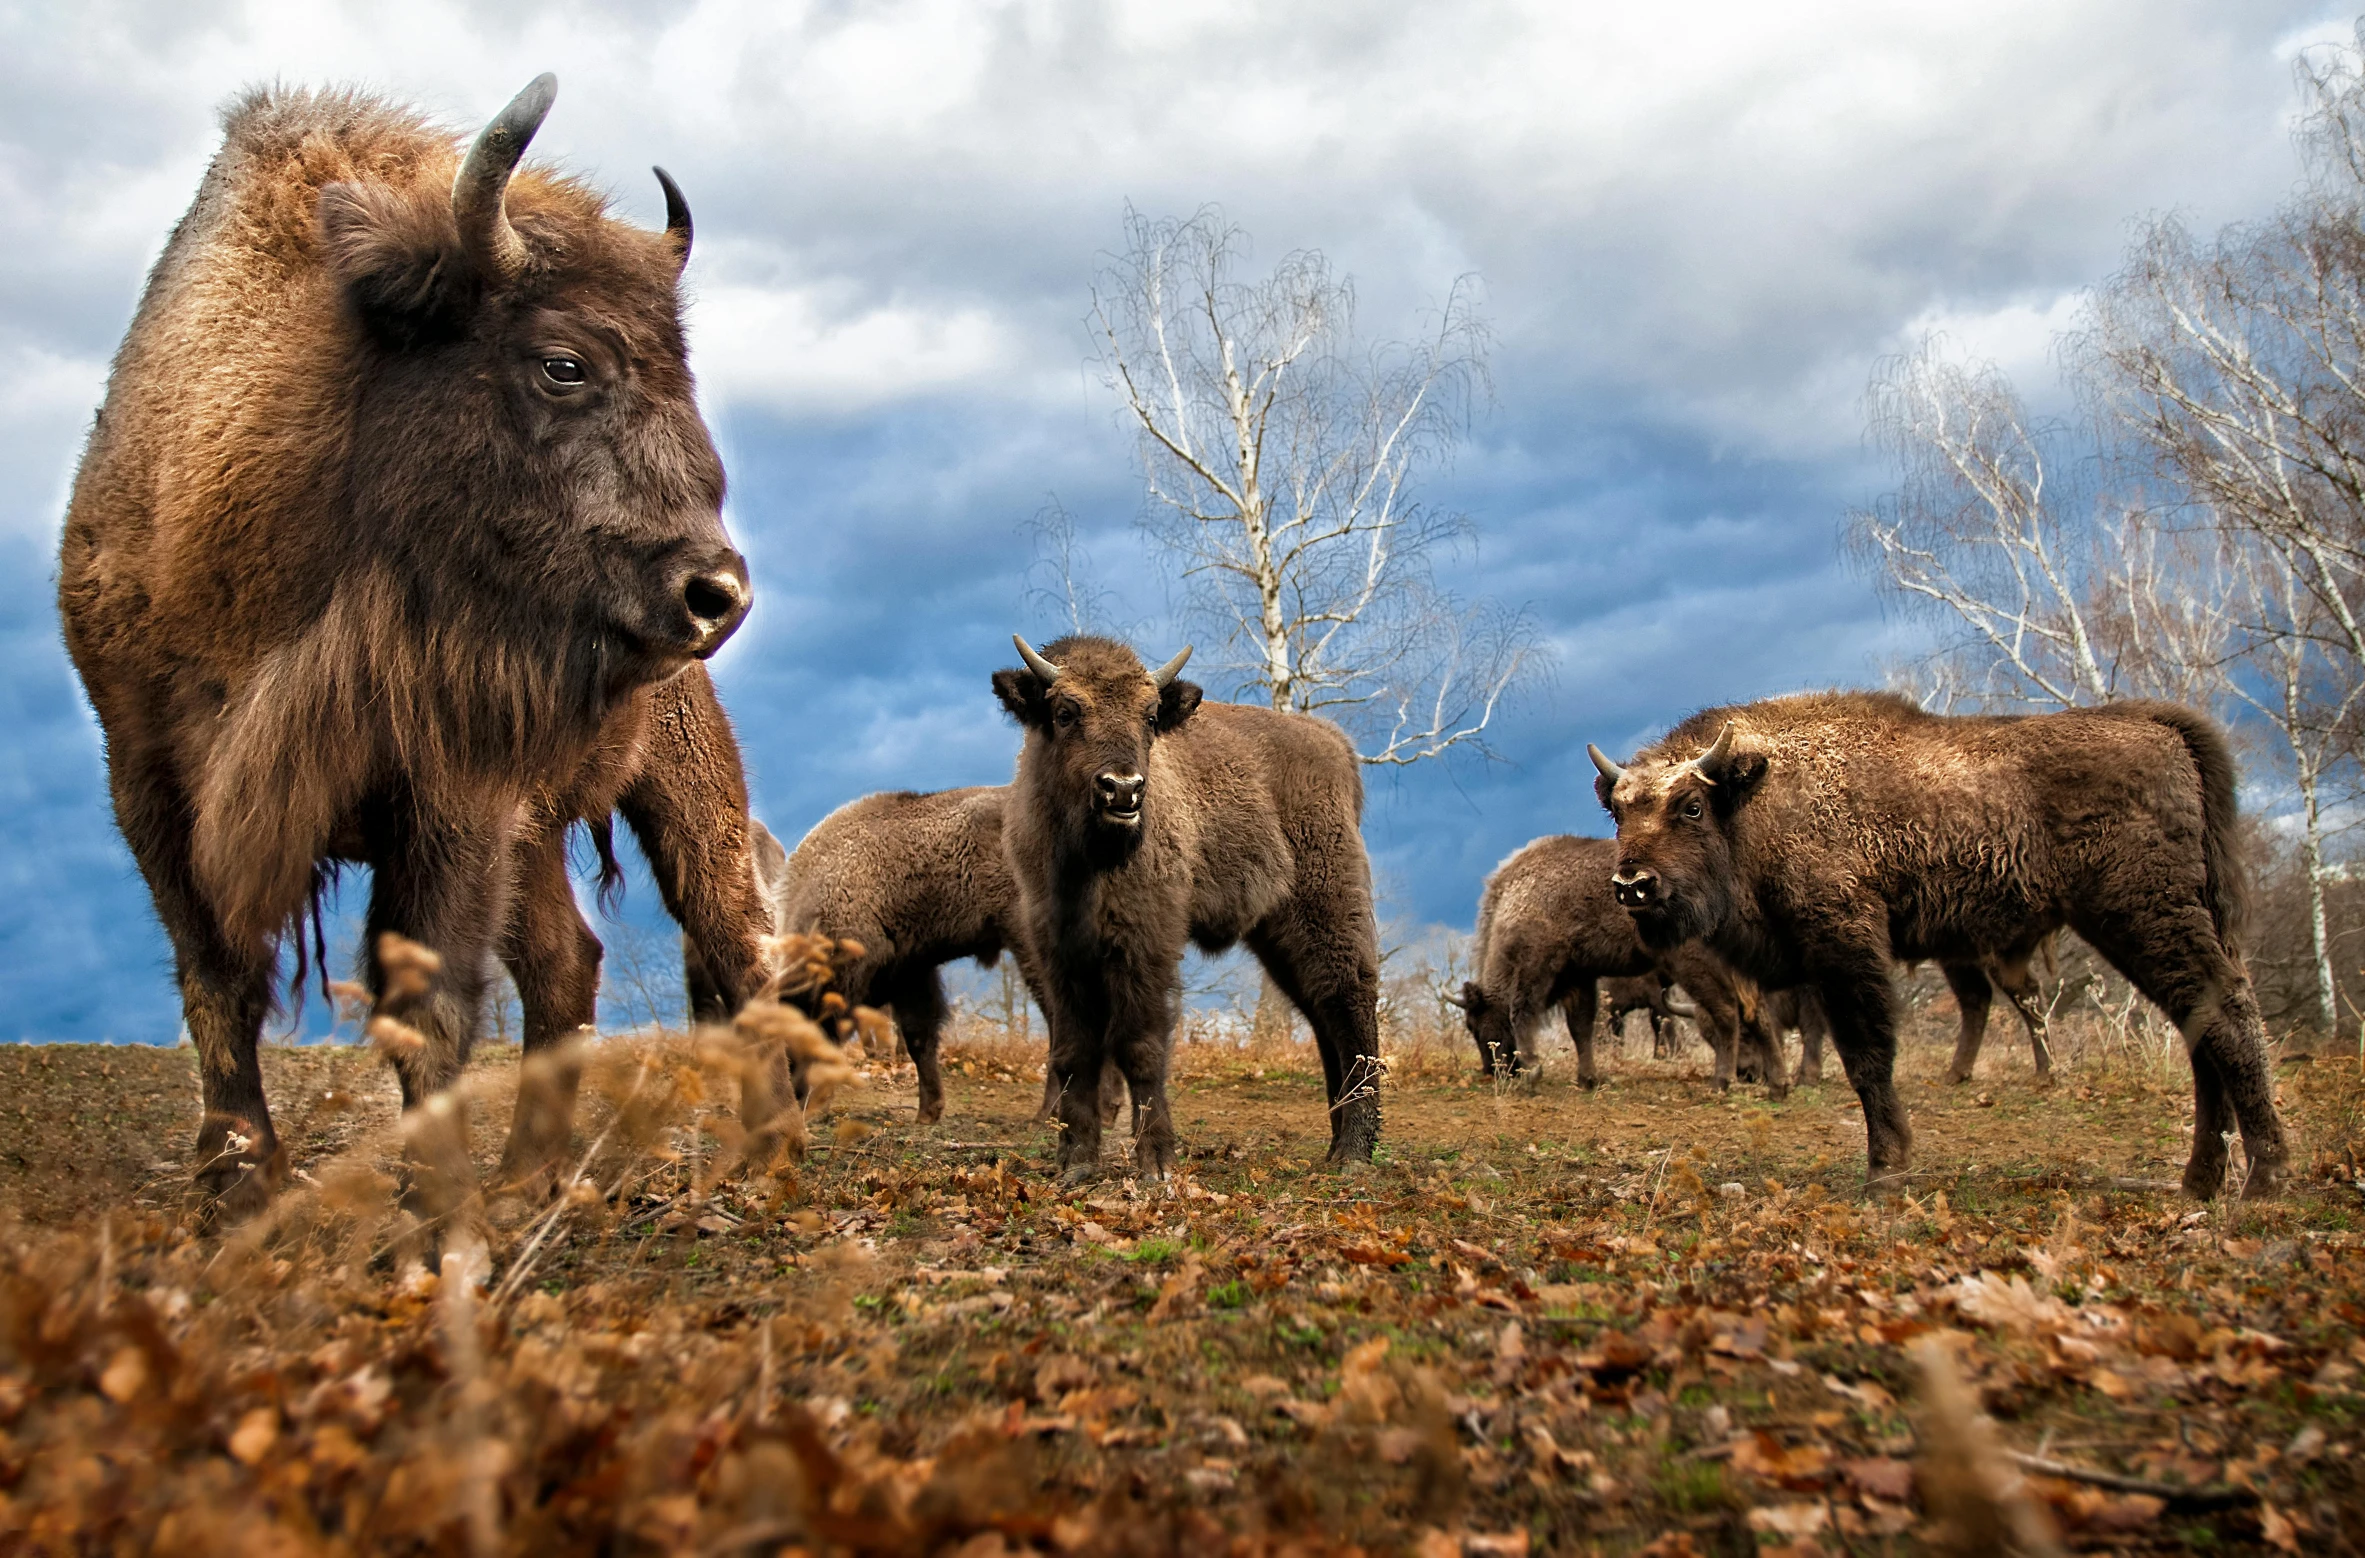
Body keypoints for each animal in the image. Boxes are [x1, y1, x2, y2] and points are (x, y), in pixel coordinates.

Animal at [57, 79, 766, 1210]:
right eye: (563, 363)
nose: (716, 595)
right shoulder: (152, 779)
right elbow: (217, 975)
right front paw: (239, 1181)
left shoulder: (448, 794)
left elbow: (427, 1002)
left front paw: (435, 1207)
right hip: (540, 832)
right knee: (566, 958)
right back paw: (531, 1171)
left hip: (682, 788)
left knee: (735, 938)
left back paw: (767, 1147)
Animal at [988, 633, 1381, 1182]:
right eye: (1066, 712)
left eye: (1150, 717)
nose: (1124, 789)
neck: (1087, 862)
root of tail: (1334, 744)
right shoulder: (1058, 951)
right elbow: (1072, 1051)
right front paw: (1076, 1162)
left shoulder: (1146, 944)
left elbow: (1140, 1047)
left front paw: (1156, 1163)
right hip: (1279, 936)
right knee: (1323, 1013)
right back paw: (1334, 1144)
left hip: (1327, 911)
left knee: (1350, 1002)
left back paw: (1354, 1153)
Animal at [1437, 836, 1778, 1092]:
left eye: (1474, 1024)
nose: (1492, 1071)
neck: (1515, 897)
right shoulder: (1579, 977)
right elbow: (1581, 1027)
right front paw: (1589, 1078)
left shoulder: (1538, 964)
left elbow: (1522, 1012)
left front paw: (1533, 1070)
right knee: (1756, 1013)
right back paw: (1779, 1083)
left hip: (1695, 967)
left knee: (1725, 1012)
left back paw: (1723, 1081)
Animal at [1589, 690, 2289, 1196]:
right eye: (1619, 812)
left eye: (1691, 807)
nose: (1633, 885)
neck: (1755, 797)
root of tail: (2160, 724)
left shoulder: (1846, 944)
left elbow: (1867, 1057)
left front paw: (1885, 1170)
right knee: (2201, 1025)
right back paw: (2200, 1180)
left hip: (2141, 915)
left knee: (2224, 1013)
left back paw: (2264, 1178)